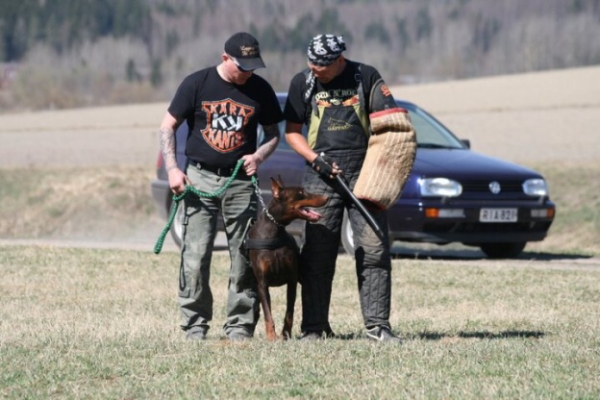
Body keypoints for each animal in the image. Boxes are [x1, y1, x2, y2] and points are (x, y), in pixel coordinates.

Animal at [245, 177, 328, 340]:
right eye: (301, 193)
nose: (326, 197)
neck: (274, 230)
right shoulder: (262, 284)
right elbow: (268, 313)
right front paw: (272, 337)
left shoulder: (292, 280)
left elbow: (289, 313)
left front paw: (285, 335)